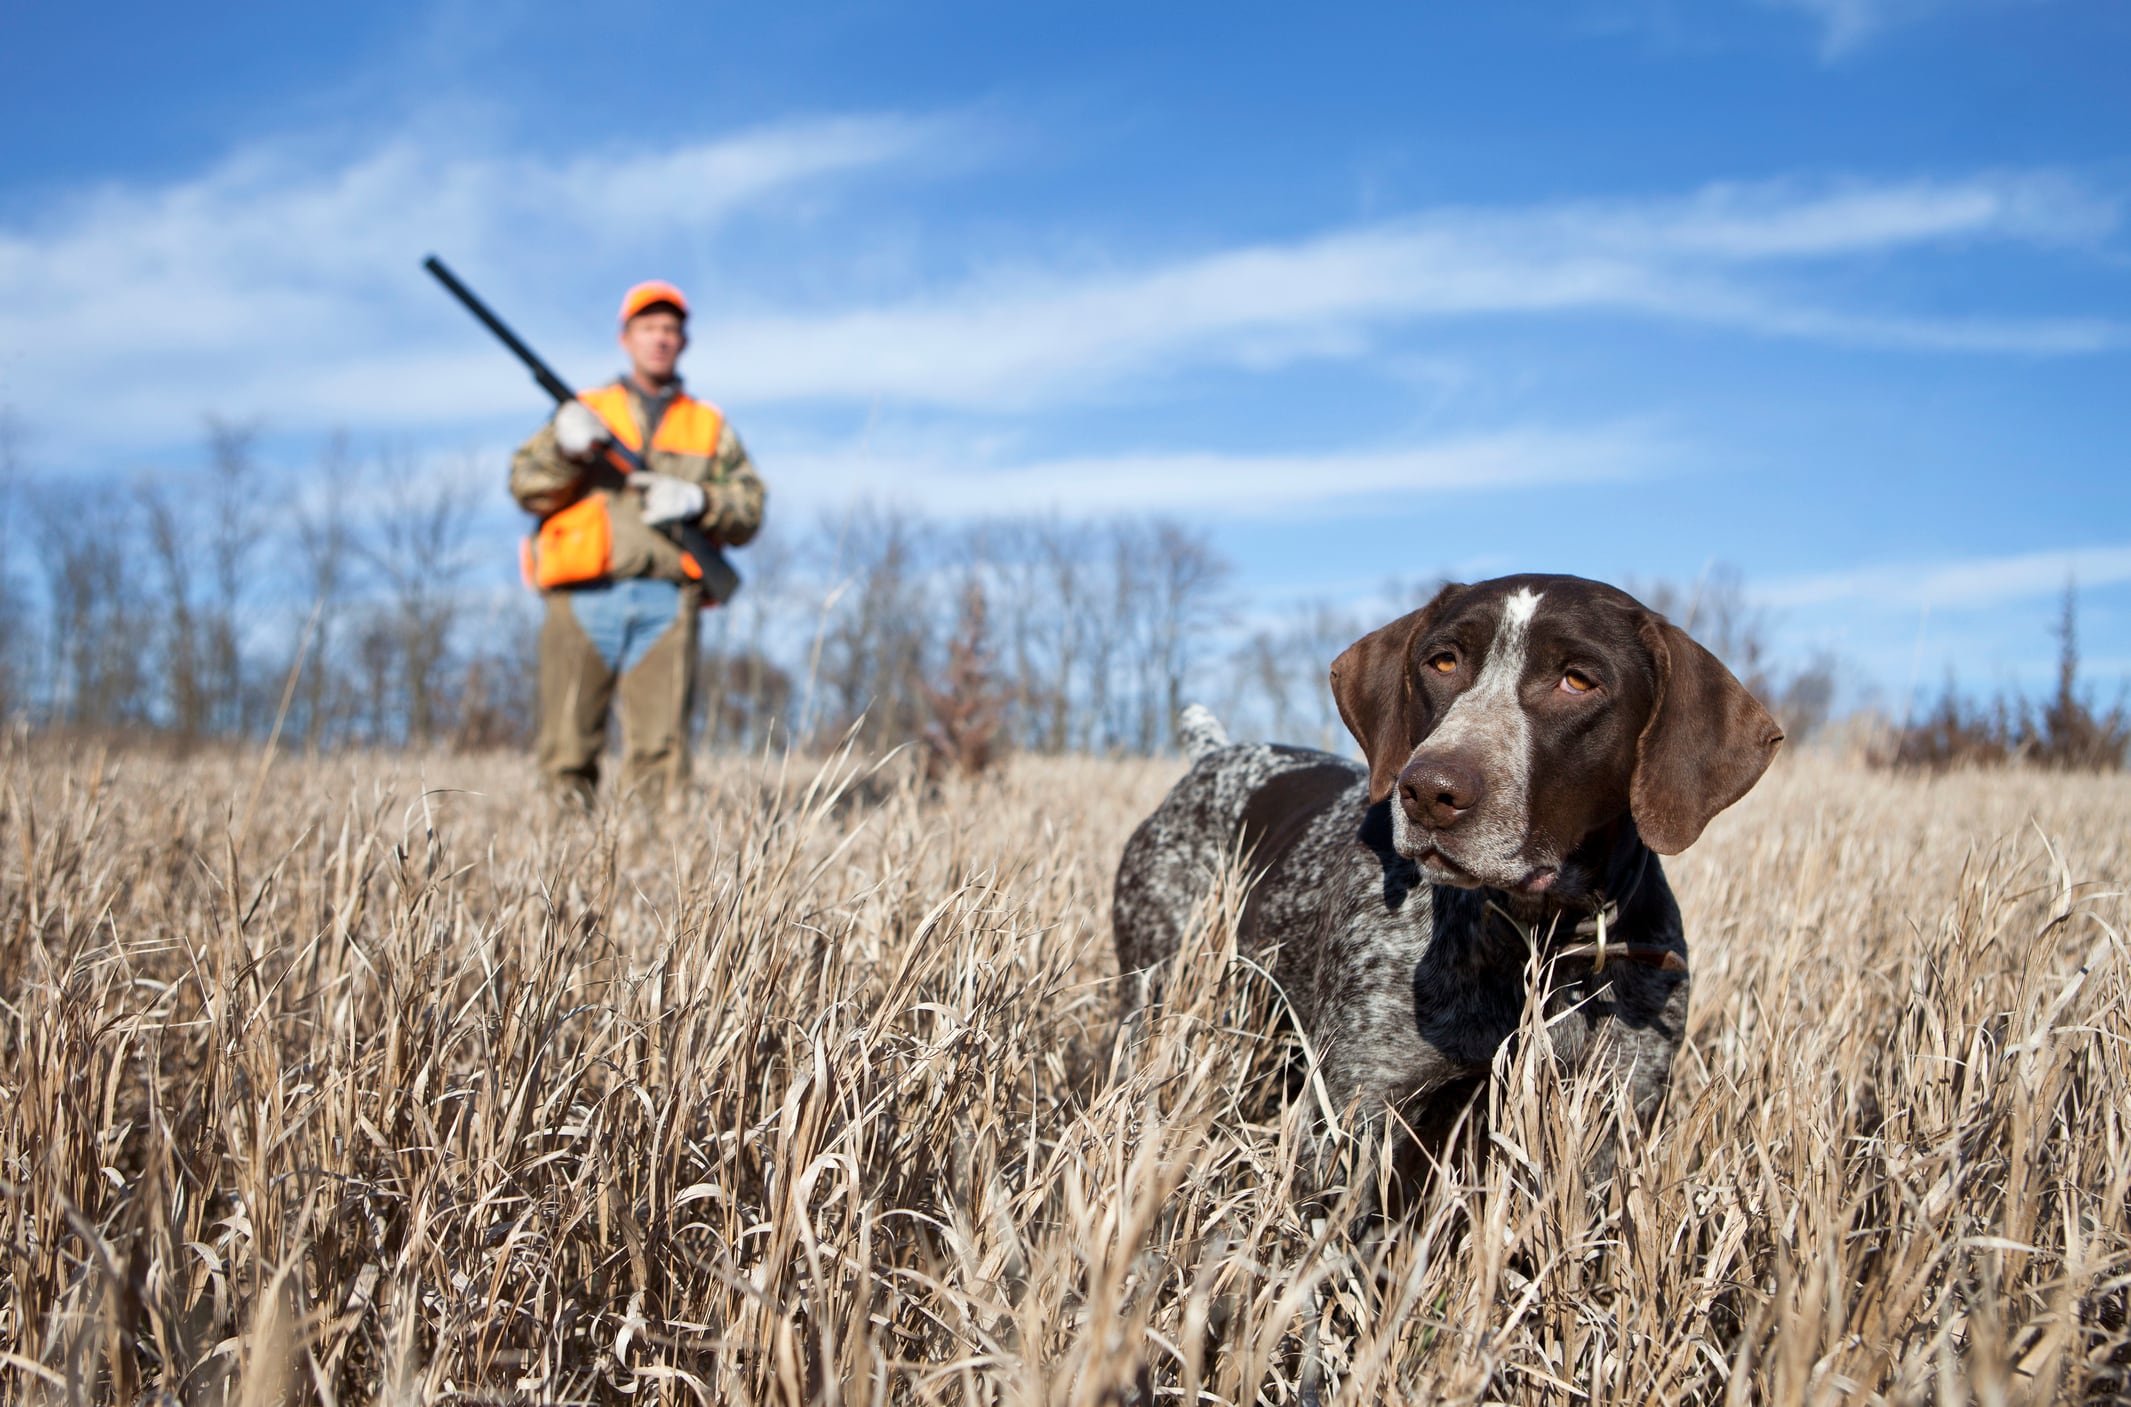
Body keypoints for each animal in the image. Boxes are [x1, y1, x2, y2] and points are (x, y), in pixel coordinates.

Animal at [1116, 575, 1781, 1193]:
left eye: (1578, 681)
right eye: (1442, 662)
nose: (1429, 792)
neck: (1540, 937)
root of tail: (1213, 756)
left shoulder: (1615, 1113)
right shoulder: (1353, 1112)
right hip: (1159, 993)